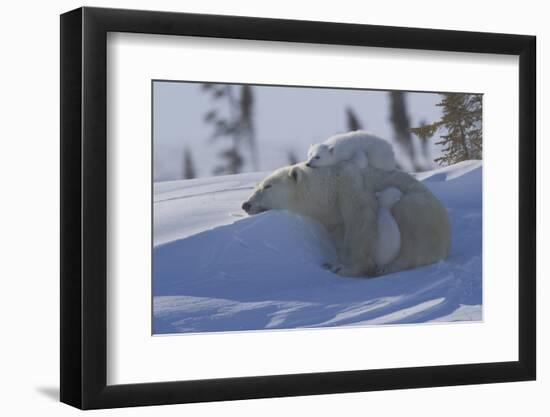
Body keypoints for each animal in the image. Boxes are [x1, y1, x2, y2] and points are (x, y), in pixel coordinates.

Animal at [244, 162, 450, 276]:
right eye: (257, 186)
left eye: (268, 186)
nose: (246, 204)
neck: (325, 188)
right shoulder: (332, 217)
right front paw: (332, 262)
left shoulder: (348, 184)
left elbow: (360, 219)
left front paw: (345, 268)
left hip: (419, 210)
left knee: (412, 235)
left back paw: (387, 267)